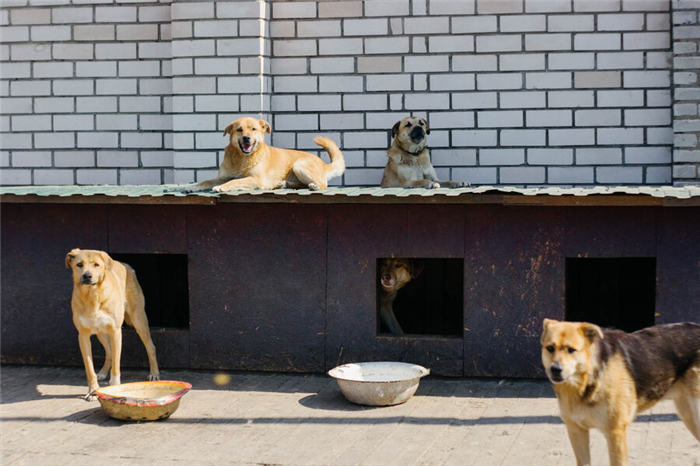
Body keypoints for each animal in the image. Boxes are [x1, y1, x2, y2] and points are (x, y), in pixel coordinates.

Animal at [65, 249, 159, 398]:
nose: (87, 276)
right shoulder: (83, 336)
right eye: (79, 264)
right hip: (101, 333)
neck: (92, 296)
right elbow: (89, 368)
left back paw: (154, 373)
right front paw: (93, 390)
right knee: (109, 353)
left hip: (139, 320)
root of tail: (125, 264)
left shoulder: (115, 332)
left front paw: (115, 387)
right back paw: (103, 372)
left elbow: (116, 364)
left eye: (96, 265)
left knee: (150, 347)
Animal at [187, 117, 346, 192]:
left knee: (323, 184)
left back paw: (314, 186)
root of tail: (323, 164)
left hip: (299, 165)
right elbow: (207, 181)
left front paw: (223, 187)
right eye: (239, 130)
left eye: (253, 129)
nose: (246, 138)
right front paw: (194, 187)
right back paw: (285, 184)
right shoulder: (222, 177)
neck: (242, 159)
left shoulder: (255, 179)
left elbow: (235, 181)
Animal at [540, 318, 700, 464]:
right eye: (550, 348)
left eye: (571, 350)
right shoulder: (577, 431)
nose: (555, 370)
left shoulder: (615, 433)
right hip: (688, 415)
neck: (584, 381)